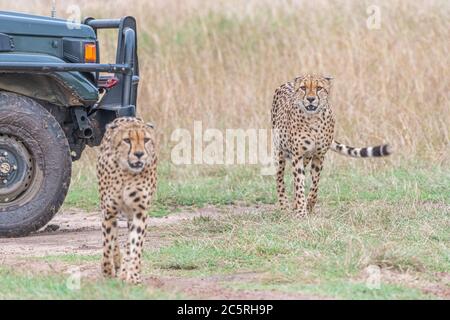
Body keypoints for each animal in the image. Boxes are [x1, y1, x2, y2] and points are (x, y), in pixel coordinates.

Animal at [96, 116, 157, 284]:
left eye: (146, 140)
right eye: (127, 140)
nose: (139, 154)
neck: (127, 174)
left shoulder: (140, 211)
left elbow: (135, 244)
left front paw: (133, 276)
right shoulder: (108, 210)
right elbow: (108, 243)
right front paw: (107, 272)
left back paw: (124, 271)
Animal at [272, 74, 392, 216]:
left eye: (319, 88)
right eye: (303, 88)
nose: (311, 99)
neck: (313, 118)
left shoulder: (318, 155)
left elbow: (314, 184)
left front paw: (309, 205)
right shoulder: (297, 155)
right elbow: (299, 184)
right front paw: (301, 212)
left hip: (306, 157)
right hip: (279, 152)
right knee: (280, 178)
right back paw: (284, 205)